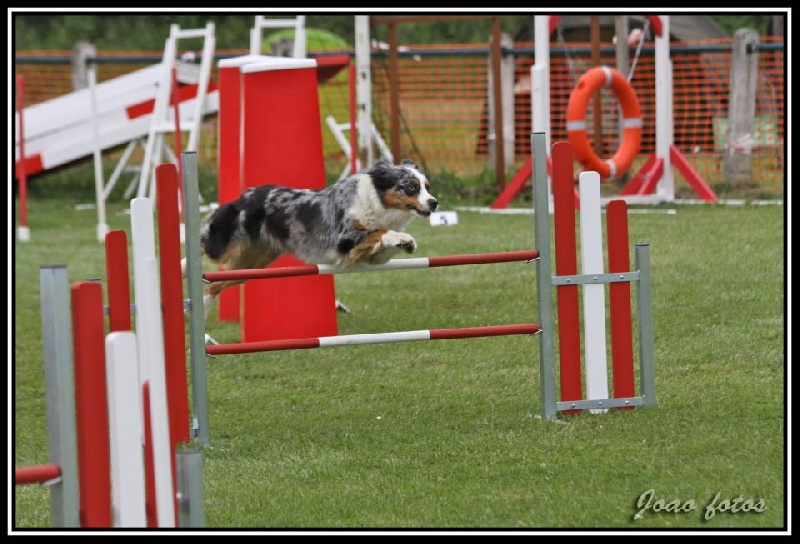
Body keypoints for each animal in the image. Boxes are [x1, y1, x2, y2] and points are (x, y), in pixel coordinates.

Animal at [186, 158, 438, 317]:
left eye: (427, 186)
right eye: (411, 187)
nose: (434, 203)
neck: (378, 201)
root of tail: (244, 196)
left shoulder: (371, 258)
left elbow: (382, 240)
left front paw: (405, 241)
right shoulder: (345, 238)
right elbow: (379, 231)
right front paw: (401, 236)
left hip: (251, 266)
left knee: (214, 285)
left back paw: (202, 309)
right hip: (224, 246)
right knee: (204, 248)